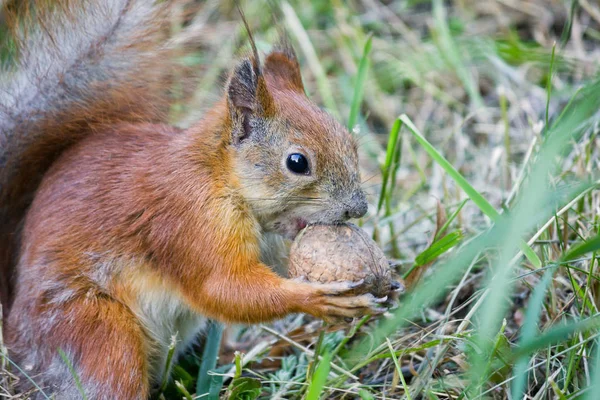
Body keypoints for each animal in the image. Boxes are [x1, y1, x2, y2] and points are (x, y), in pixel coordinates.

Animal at [0, 1, 384, 398]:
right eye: (297, 162)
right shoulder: (190, 221)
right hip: (96, 332)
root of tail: (17, 340)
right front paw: (317, 299)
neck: (218, 176)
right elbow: (222, 288)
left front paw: (387, 281)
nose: (358, 208)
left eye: (349, 141)